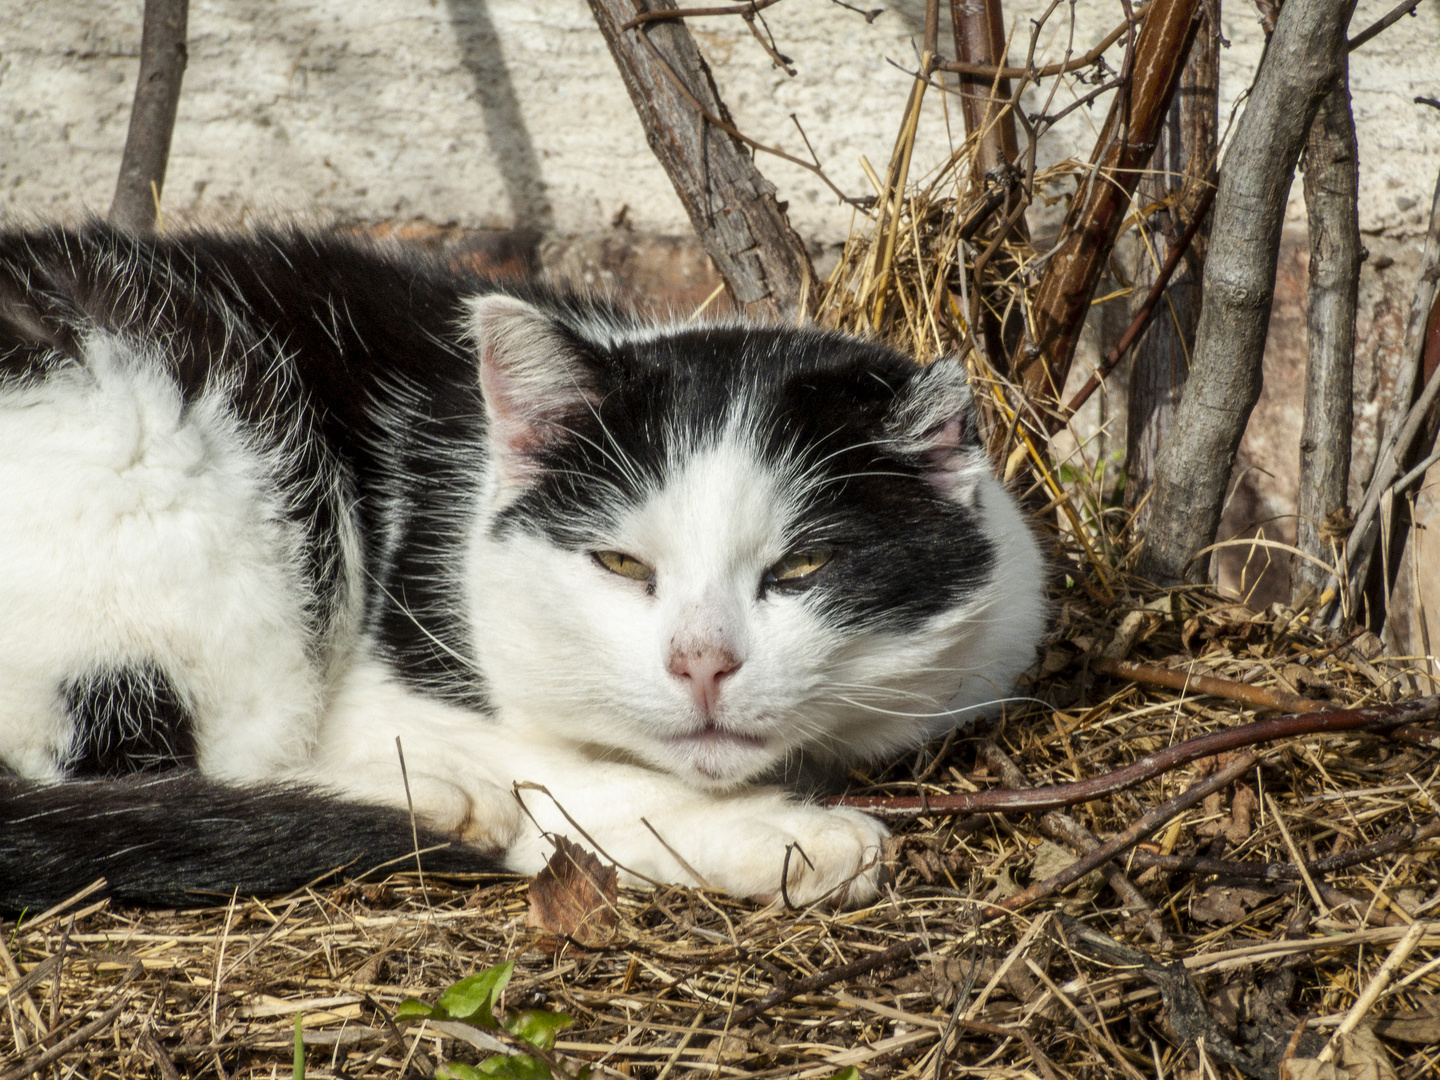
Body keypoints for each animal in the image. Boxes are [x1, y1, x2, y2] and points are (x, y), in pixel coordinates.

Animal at [0, 226, 1042, 915]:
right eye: (619, 563)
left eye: (805, 564)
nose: (702, 663)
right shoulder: (392, 690)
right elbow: (571, 777)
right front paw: (791, 835)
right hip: (193, 472)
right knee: (167, 770)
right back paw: (426, 803)